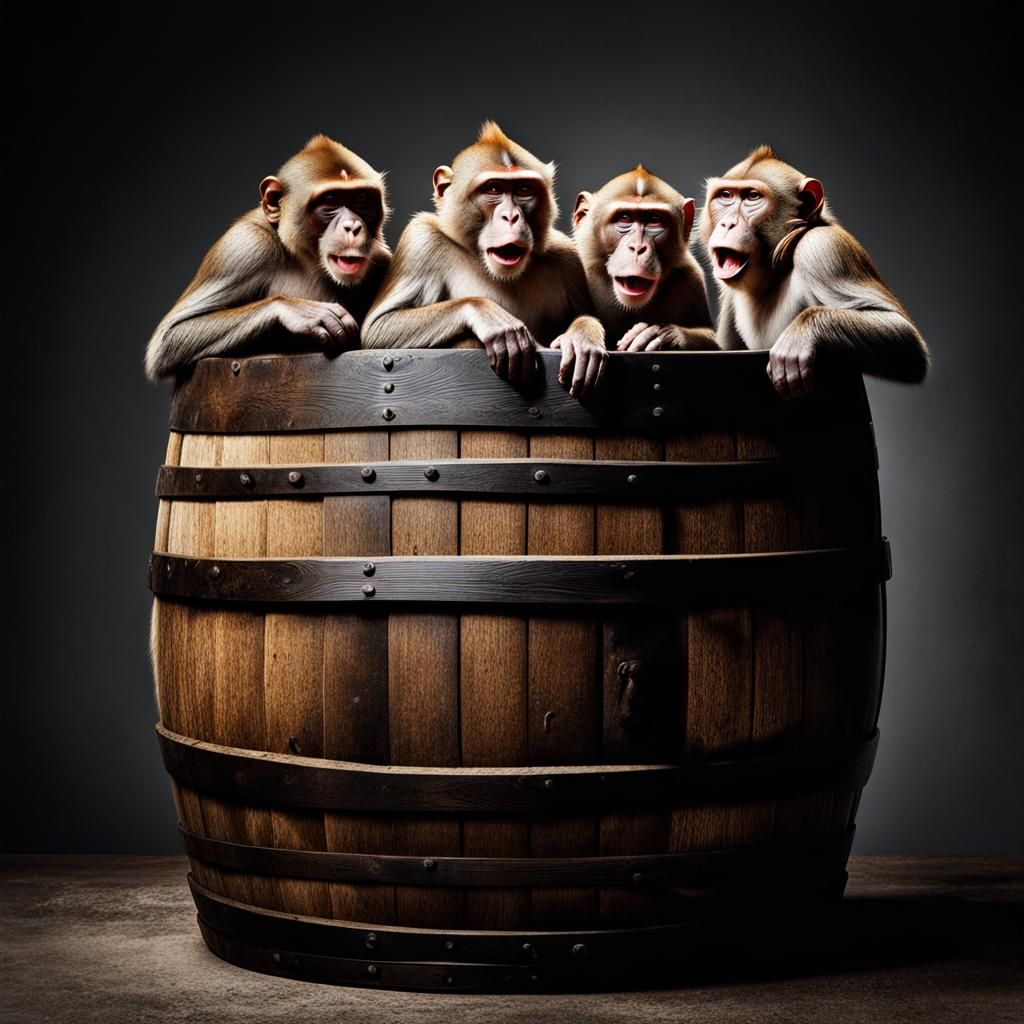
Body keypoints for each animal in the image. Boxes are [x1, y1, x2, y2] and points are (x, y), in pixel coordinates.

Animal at [144, 135, 391, 381]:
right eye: (331, 200)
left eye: (361, 198)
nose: (353, 226)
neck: (304, 257)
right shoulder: (244, 247)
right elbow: (171, 336)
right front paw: (299, 311)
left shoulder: (380, 258)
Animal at [361, 122, 607, 401]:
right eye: (494, 189)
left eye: (523, 189)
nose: (511, 216)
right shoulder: (421, 242)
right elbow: (379, 327)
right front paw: (488, 314)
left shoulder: (566, 256)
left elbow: (586, 313)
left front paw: (581, 336)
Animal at [573, 166, 717, 353]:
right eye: (624, 218)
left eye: (654, 220)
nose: (637, 247)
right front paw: (582, 334)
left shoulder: (692, 277)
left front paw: (663, 334)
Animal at [701, 146, 929, 399]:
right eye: (726, 196)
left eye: (752, 197)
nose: (727, 224)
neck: (778, 270)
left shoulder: (822, 248)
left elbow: (906, 342)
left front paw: (801, 334)